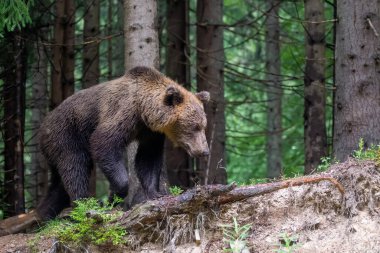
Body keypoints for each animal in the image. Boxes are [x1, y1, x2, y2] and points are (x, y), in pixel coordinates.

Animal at [37, 66, 209, 218]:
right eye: (195, 126)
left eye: (203, 125)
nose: (205, 151)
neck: (143, 110)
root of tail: (43, 125)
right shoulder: (123, 112)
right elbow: (103, 142)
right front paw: (116, 194)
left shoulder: (151, 133)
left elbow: (148, 159)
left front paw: (155, 193)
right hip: (67, 135)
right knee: (75, 168)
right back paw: (84, 203)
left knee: (58, 184)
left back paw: (45, 213)